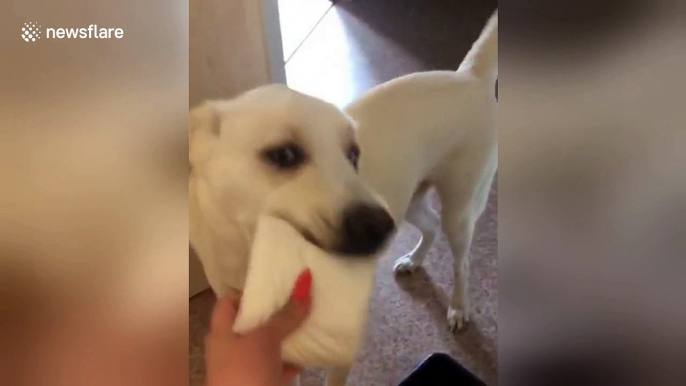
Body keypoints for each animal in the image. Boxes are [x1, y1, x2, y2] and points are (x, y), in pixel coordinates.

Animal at [191, 10, 498, 384]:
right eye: (284, 154)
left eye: (353, 154)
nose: (379, 228)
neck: (247, 253)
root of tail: (469, 77)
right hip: (409, 201)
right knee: (431, 224)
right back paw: (414, 260)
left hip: (460, 208)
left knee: (462, 261)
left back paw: (458, 307)